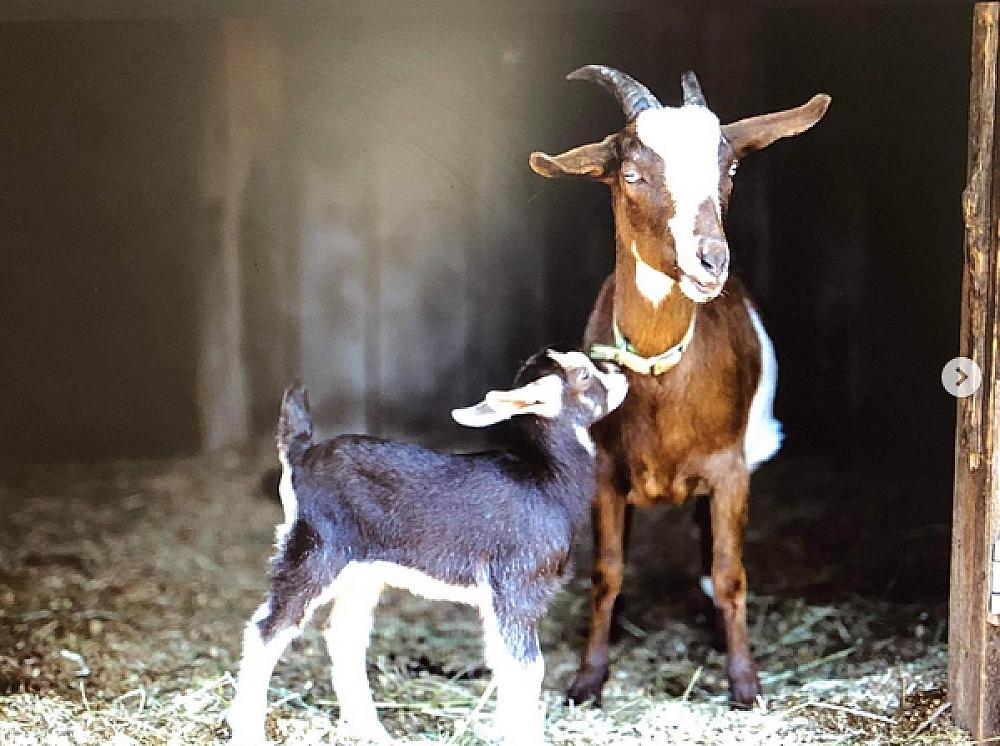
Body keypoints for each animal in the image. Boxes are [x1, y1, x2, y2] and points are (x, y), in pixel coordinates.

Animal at [226, 349, 628, 745]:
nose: (621, 372)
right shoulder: (517, 586)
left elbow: (503, 661)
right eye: (584, 375)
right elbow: (527, 667)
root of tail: (300, 457)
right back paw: (249, 731)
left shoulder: (500, 597)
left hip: (361, 572)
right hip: (315, 550)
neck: (546, 479)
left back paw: (372, 731)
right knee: (266, 629)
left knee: (344, 635)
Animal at [529, 66, 830, 706]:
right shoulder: (605, 475)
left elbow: (728, 572)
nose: (709, 261)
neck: (661, 376)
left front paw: (744, 683)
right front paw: (588, 679)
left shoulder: (730, 470)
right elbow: (607, 572)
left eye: (730, 170)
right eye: (631, 174)